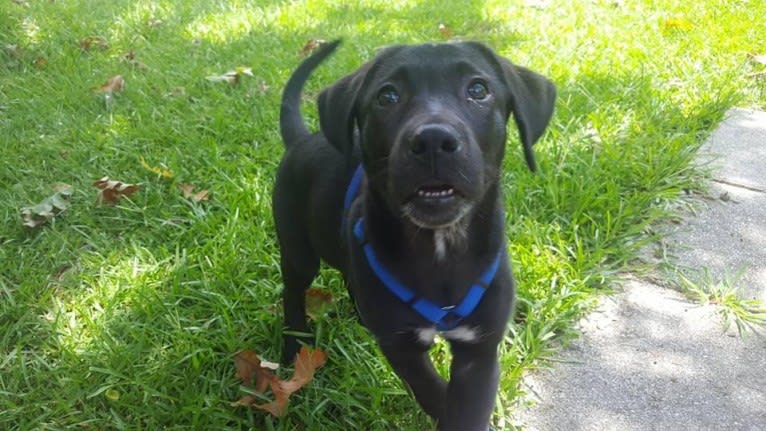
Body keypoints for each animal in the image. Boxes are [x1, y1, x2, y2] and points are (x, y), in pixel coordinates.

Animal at [276, 38, 560, 430]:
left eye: (478, 90)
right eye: (387, 96)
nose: (433, 140)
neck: (440, 247)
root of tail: (301, 140)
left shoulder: (480, 347)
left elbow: (467, 407)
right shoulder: (403, 347)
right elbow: (435, 395)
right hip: (297, 246)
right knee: (293, 290)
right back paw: (294, 344)